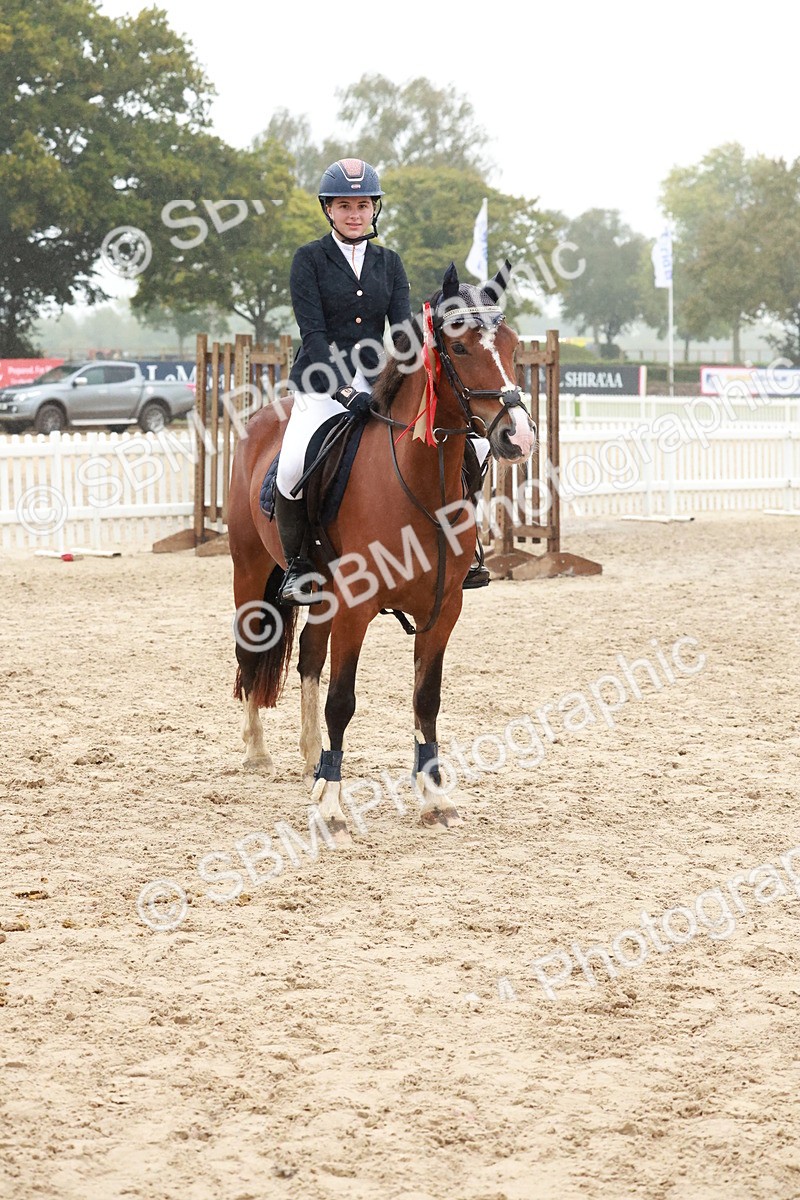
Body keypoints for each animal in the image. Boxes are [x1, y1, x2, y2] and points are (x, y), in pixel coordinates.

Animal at [226, 261, 536, 842]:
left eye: (510, 344)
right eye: (460, 347)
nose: (519, 436)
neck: (419, 485)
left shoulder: (443, 609)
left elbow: (426, 699)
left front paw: (434, 797)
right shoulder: (357, 607)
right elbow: (342, 701)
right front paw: (331, 809)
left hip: (322, 594)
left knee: (307, 658)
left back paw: (310, 760)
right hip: (251, 573)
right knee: (251, 650)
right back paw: (258, 751)